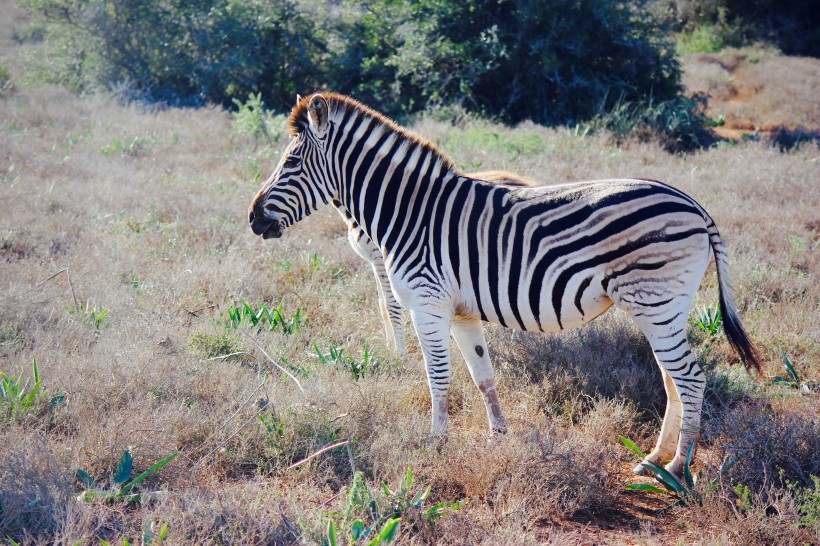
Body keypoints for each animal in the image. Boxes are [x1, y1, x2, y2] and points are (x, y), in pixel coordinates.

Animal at [338, 171, 536, 356]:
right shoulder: (374, 261)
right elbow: (382, 304)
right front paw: (389, 346)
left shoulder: (383, 259)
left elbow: (391, 305)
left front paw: (400, 352)